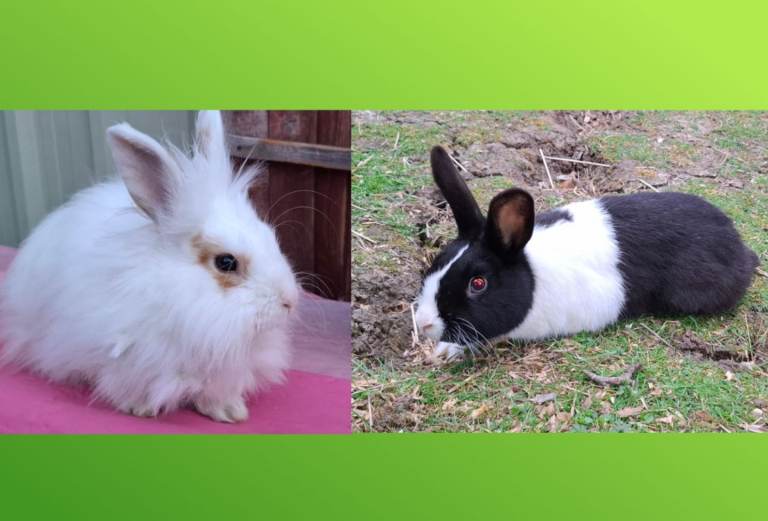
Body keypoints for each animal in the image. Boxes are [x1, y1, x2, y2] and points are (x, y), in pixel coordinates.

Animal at [0, 111, 299, 422]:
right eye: (226, 262)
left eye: (270, 235)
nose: (290, 301)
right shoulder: (127, 361)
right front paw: (140, 409)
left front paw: (231, 412)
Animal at [414, 146, 761, 361]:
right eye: (436, 263)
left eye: (478, 284)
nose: (423, 323)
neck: (533, 276)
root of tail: (738, 246)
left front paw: (448, 351)